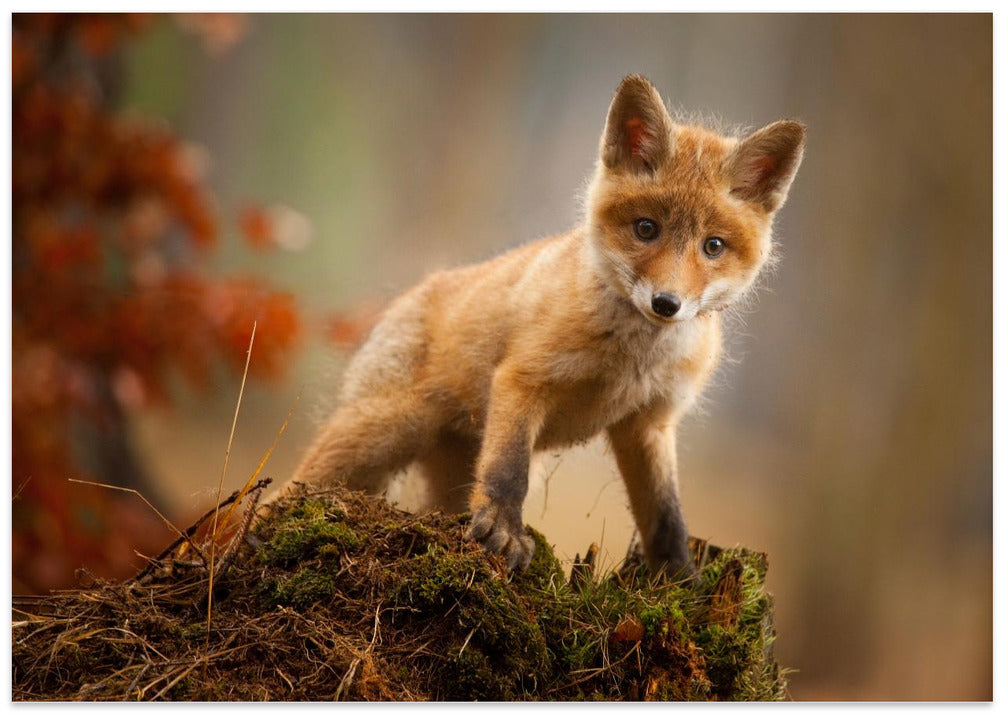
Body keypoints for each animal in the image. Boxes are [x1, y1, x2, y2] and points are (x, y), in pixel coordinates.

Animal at [281, 74, 804, 577]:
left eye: (713, 246)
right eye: (646, 229)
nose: (666, 303)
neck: (631, 360)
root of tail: (413, 292)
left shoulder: (649, 423)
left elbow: (666, 518)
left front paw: (680, 583)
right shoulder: (524, 379)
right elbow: (510, 471)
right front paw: (504, 531)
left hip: (444, 473)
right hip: (377, 435)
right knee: (286, 490)